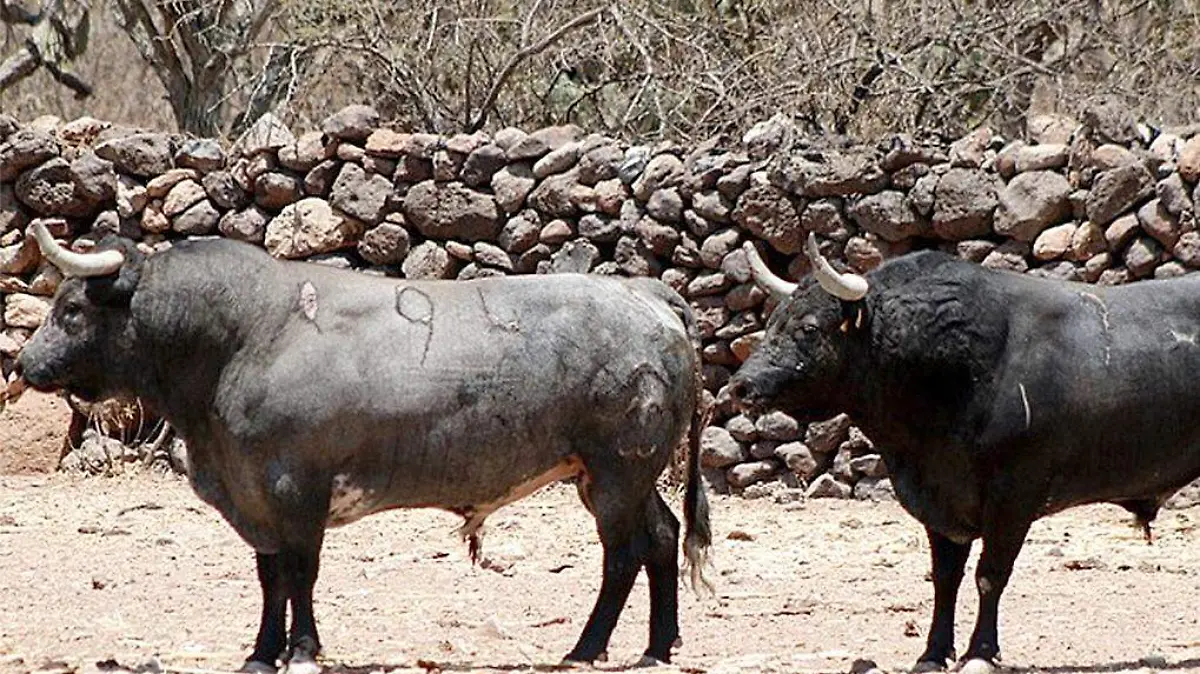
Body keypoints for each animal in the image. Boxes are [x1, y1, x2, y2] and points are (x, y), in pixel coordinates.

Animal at [11, 223, 710, 666]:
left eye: (72, 309)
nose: (23, 364)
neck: (240, 336)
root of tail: (645, 293)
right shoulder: (253, 495)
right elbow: (270, 575)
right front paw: (262, 651)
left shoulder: (295, 488)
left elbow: (300, 572)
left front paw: (301, 648)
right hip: (617, 476)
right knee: (663, 537)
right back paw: (658, 646)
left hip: (617, 472)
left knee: (624, 555)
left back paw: (587, 648)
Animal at [724, 233, 1200, 666]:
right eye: (773, 320)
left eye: (809, 327)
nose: (741, 386)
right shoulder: (942, 500)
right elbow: (945, 578)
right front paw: (933, 652)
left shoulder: (1014, 496)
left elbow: (990, 574)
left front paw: (981, 652)